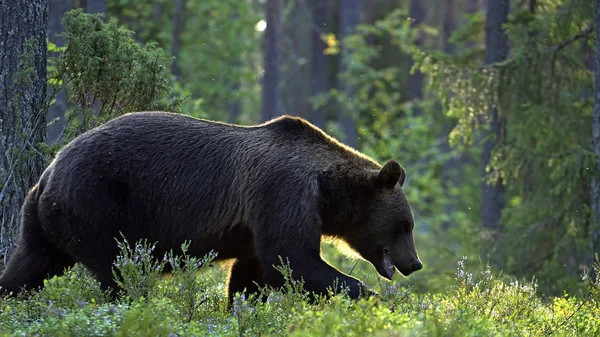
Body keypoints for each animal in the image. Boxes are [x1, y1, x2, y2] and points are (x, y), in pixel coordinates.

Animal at [0, 112, 422, 302]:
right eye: (405, 224)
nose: (414, 263)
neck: (326, 190)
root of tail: (49, 170)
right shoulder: (281, 192)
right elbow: (293, 260)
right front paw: (372, 297)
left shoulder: (254, 223)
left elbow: (252, 273)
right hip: (100, 201)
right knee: (120, 270)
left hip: (44, 218)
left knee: (28, 265)